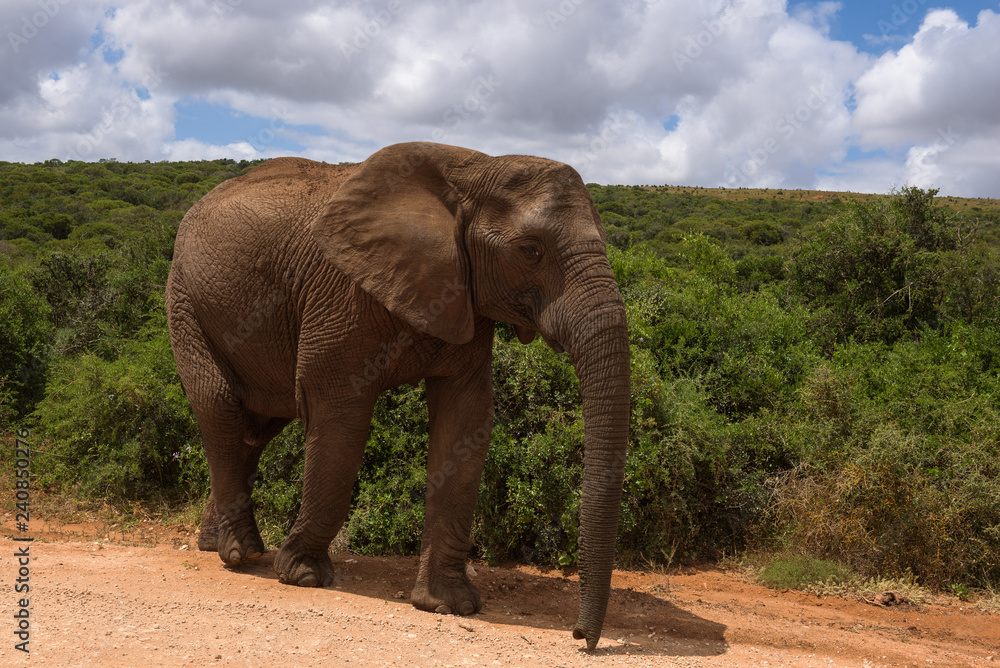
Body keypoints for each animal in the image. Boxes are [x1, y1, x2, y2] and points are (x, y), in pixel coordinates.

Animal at [165, 141, 630, 650]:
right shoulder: (340, 292)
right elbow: (340, 418)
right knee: (220, 405)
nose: (581, 636)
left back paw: (213, 545)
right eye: (530, 251)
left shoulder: (464, 299)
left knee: (256, 428)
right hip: (185, 300)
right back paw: (241, 556)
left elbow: (465, 423)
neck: (475, 168)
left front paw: (448, 605)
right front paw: (303, 576)